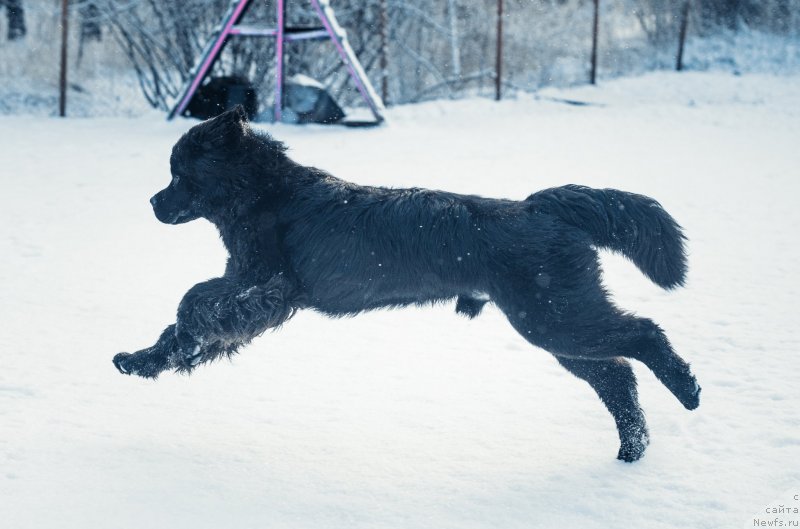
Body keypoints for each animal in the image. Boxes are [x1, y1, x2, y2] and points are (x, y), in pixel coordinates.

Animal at [114, 108, 700, 462]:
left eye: (179, 174)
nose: (153, 203)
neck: (266, 193)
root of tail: (540, 206)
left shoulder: (268, 288)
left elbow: (195, 303)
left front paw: (177, 340)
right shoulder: (251, 288)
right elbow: (190, 328)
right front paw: (142, 361)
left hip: (556, 315)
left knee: (643, 335)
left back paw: (687, 389)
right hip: (558, 322)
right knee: (617, 376)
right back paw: (632, 450)